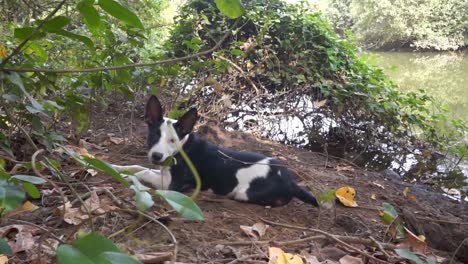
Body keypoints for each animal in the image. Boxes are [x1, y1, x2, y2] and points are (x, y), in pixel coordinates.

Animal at [116, 96, 318, 207]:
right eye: (153, 136)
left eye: (172, 141)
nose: (156, 156)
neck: (183, 148)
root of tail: (290, 180)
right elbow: (138, 167)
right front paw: (117, 168)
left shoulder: (172, 185)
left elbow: (143, 173)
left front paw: (126, 178)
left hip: (245, 192)